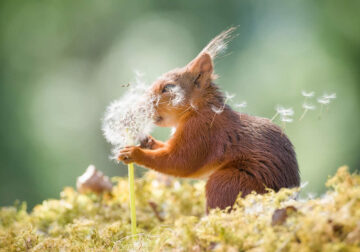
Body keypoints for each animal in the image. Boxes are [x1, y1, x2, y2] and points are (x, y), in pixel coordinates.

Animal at [117, 28, 298, 211]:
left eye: (168, 87)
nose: (141, 106)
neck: (197, 109)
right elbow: (167, 149)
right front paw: (147, 141)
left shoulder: (202, 131)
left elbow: (180, 162)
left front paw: (134, 153)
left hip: (227, 182)